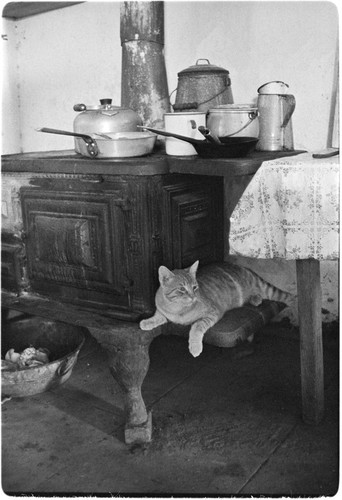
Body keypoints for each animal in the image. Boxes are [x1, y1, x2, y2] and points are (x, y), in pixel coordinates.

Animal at [139, 260, 294, 358]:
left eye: (194, 287)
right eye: (182, 289)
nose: (193, 296)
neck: (178, 310)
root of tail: (242, 267)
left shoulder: (212, 313)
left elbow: (196, 327)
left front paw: (195, 347)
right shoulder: (162, 311)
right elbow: (157, 316)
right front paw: (146, 322)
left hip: (260, 288)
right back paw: (255, 299)